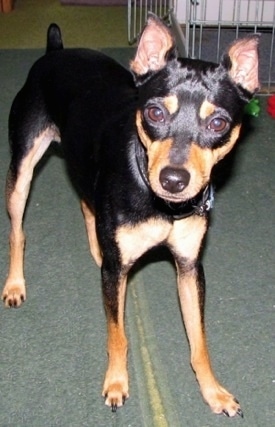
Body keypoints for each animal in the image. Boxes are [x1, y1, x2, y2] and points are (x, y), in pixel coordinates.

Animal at [3, 15, 260, 416]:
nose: (173, 180)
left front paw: (213, 392)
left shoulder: (190, 267)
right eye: (155, 112)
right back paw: (15, 284)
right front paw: (116, 383)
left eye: (218, 124)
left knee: (86, 203)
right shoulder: (116, 276)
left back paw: (97, 248)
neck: (163, 207)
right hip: (22, 168)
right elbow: (118, 335)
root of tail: (55, 51)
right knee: (18, 230)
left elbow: (199, 342)